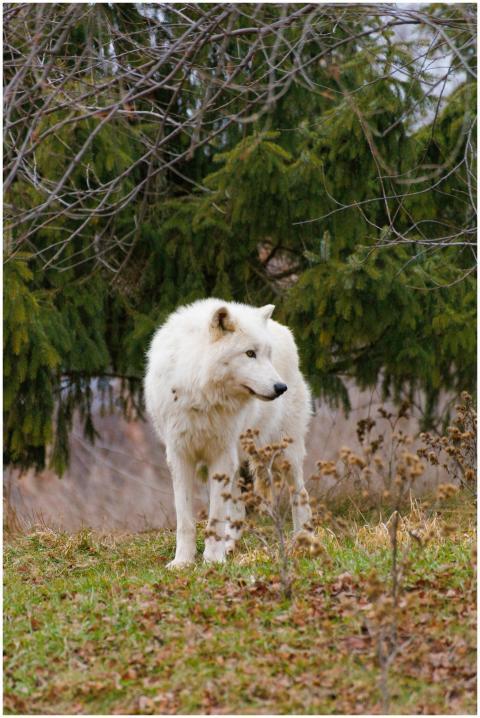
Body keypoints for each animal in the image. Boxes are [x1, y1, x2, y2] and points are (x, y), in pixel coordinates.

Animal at [144, 298, 312, 567]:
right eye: (250, 353)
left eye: (268, 355)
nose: (280, 387)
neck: (201, 395)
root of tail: (283, 329)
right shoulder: (180, 456)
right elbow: (185, 520)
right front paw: (182, 562)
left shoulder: (221, 456)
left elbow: (216, 516)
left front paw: (213, 560)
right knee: (239, 510)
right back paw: (230, 545)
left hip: (284, 454)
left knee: (301, 494)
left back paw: (303, 541)